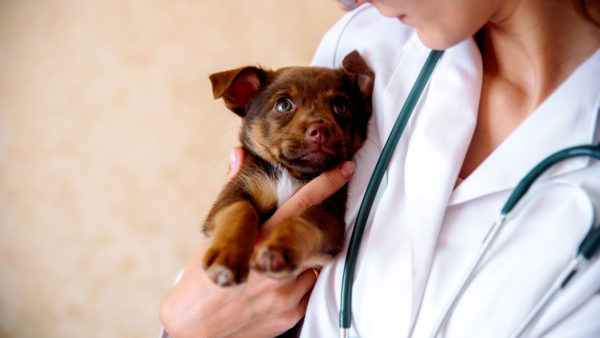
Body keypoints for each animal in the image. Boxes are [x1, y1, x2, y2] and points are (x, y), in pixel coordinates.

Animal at [203, 51, 370, 286]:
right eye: (283, 105)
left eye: (341, 107)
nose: (321, 130)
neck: (290, 173)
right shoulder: (233, 193)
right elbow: (241, 211)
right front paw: (227, 257)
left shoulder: (328, 216)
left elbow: (299, 222)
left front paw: (279, 250)